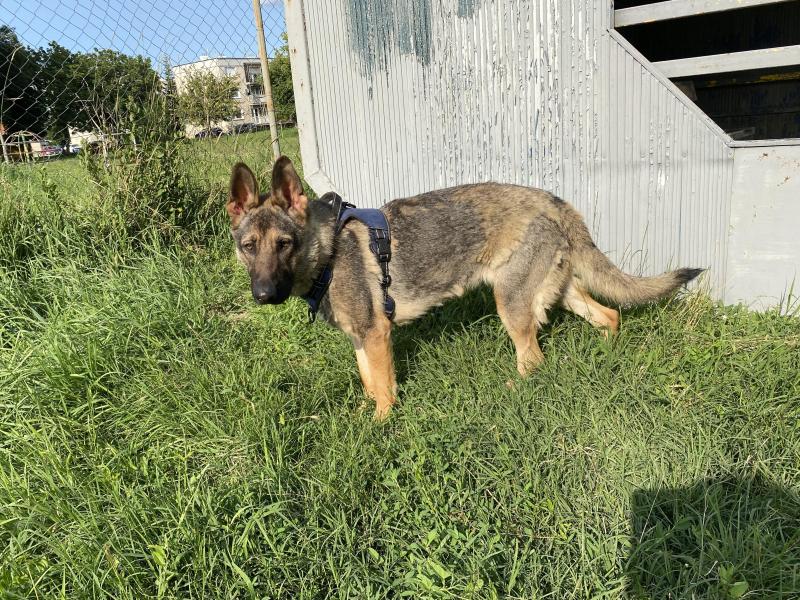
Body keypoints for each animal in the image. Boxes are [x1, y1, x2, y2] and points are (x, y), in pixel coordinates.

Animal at [227, 156, 702, 418]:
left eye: (284, 244)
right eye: (248, 247)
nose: (263, 295)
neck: (324, 252)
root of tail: (554, 200)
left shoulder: (376, 335)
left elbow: (384, 390)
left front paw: (381, 426)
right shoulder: (361, 339)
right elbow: (368, 383)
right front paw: (364, 414)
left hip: (511, 304)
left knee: (533, 359)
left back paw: (514, 390)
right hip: (559, 291)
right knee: (610, 314)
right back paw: (606, 354)